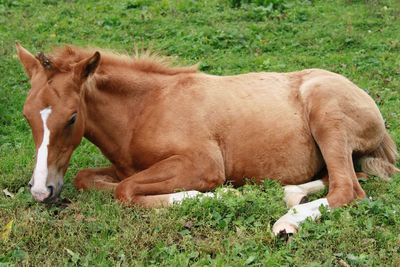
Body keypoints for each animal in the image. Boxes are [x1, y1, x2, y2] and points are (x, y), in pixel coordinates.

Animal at [14, 43, 398, 237]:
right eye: (27, 114)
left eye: (72, 118)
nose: (41, 191)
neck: (144, 109)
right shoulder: (125, 166)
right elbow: (90, 179)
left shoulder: (202, 163)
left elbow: (126, 191)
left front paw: (214, 195)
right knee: (345, 177)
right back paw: (290, 194)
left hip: (327, 117)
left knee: (348, 189)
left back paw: (286, 223)